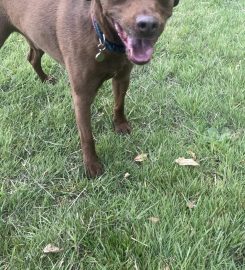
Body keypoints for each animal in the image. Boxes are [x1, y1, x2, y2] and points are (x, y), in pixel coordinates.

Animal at [0, 0, 180, 177]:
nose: (148, 24)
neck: (103, 38)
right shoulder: (82, 96)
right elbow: (87, 136)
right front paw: (92, 165)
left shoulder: (122, 78)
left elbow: (119, 104)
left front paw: (120, 124)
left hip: (36, 38)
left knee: (32, 58)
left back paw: (45, 80)